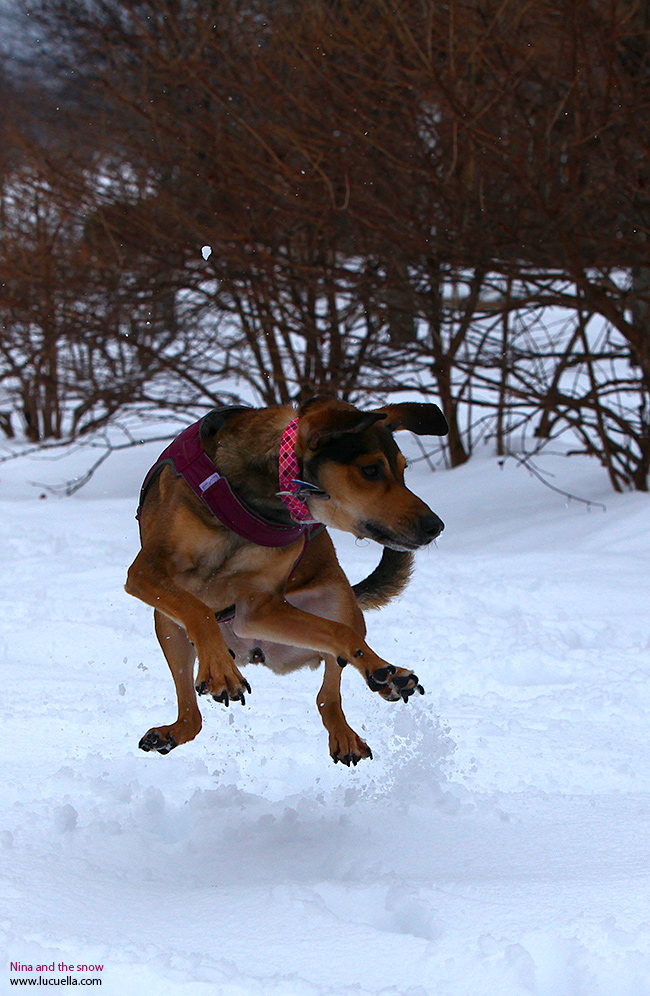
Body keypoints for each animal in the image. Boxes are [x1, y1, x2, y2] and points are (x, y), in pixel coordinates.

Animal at [126, 394, 446, 764]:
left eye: (403, 469)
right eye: (370, 470)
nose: (435, 526)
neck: (262, 496)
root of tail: (254, 653)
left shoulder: (258, 609)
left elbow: (340, 636)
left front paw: (382, 669)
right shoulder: (147, 571)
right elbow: (199, 610)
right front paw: (219, 669)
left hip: (336, 599)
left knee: (329, 689)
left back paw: (368, 701)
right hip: (167, 624)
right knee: (192, 714)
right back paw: (174, 728)